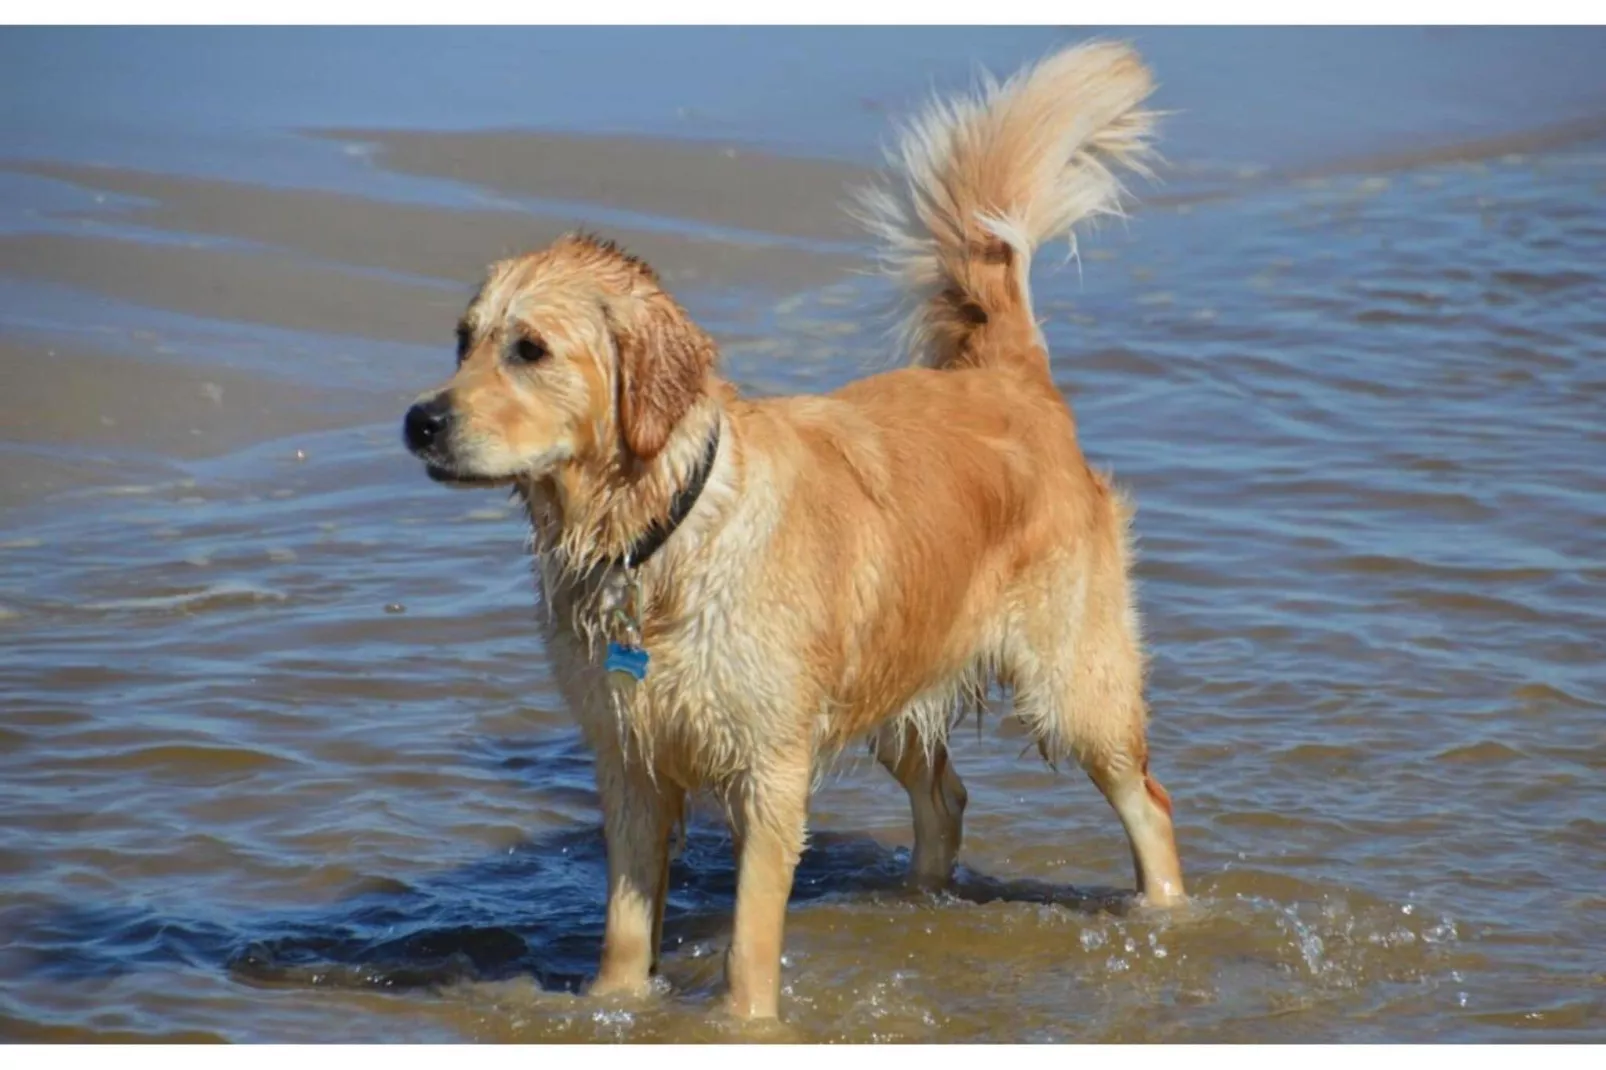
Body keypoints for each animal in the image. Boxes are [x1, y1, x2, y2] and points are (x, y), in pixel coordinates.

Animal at [401, 43, 1182, 1015]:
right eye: (463, 339)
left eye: (530, 349)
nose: (419, 422)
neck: (657, 541)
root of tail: (1009, 378)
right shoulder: (629, 760)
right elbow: (624, 926)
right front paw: (613, 1009)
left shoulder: (769, 769)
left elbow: (748, 940)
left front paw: (742, 1025)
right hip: (895, 678)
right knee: (946, 800)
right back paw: (916, 905)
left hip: (1074, 686)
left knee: (1148, 804)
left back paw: (1169, 915)